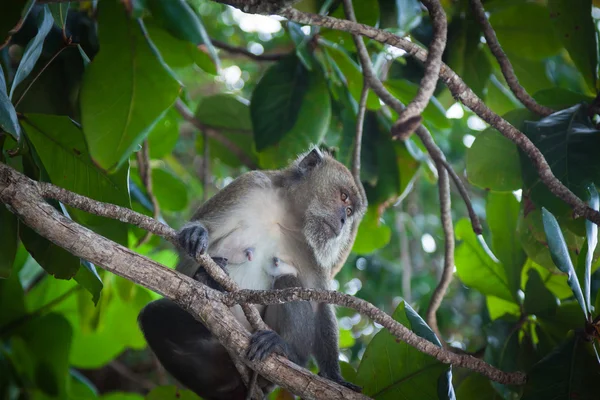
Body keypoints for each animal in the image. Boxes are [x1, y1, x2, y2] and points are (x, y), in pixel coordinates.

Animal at [139, 148, 366, 400]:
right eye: (343, 197)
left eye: (349, 210)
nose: (344, 221)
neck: (286, 214)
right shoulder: (249, 186)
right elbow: (186, 261)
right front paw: (199, 245)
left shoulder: (312, 248)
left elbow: (318, 303)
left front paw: (334, 376)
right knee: (154, 316)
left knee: (288, 283)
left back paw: (286, 352)